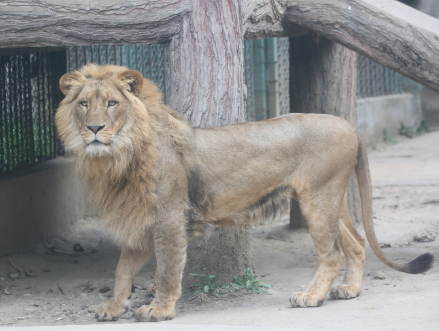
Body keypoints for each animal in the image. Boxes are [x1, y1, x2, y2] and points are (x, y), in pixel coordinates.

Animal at [55, 64, 434, 322]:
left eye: (113, 103)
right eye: (84, 104)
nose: (94, 129)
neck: (119, 156)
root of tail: (349, 125)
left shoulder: (169, 218)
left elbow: (166, 270)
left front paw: (159, 309)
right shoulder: (144, 218)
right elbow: (123, 269)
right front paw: (114, 306)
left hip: (318, 197)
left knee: (333, 253)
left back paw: (311, 296)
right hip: (329, 198)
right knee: (355, 243)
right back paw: (350, 290)